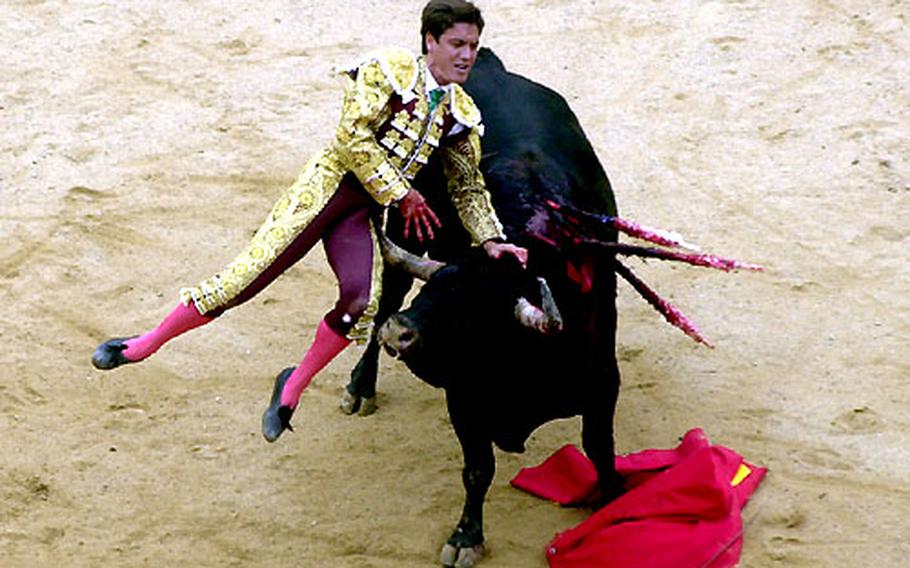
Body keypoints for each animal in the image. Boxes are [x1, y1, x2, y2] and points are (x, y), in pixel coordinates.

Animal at [346, 48, 624, 564]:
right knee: (387, 291)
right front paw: (465, 537)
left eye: (469, 313)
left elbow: (601, 452)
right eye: (431, 292)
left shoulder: (602, 386)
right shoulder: (465, 398)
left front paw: (615, 507)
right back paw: (361, 385)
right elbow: (478, 469)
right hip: (407, 230)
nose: (400, 331)